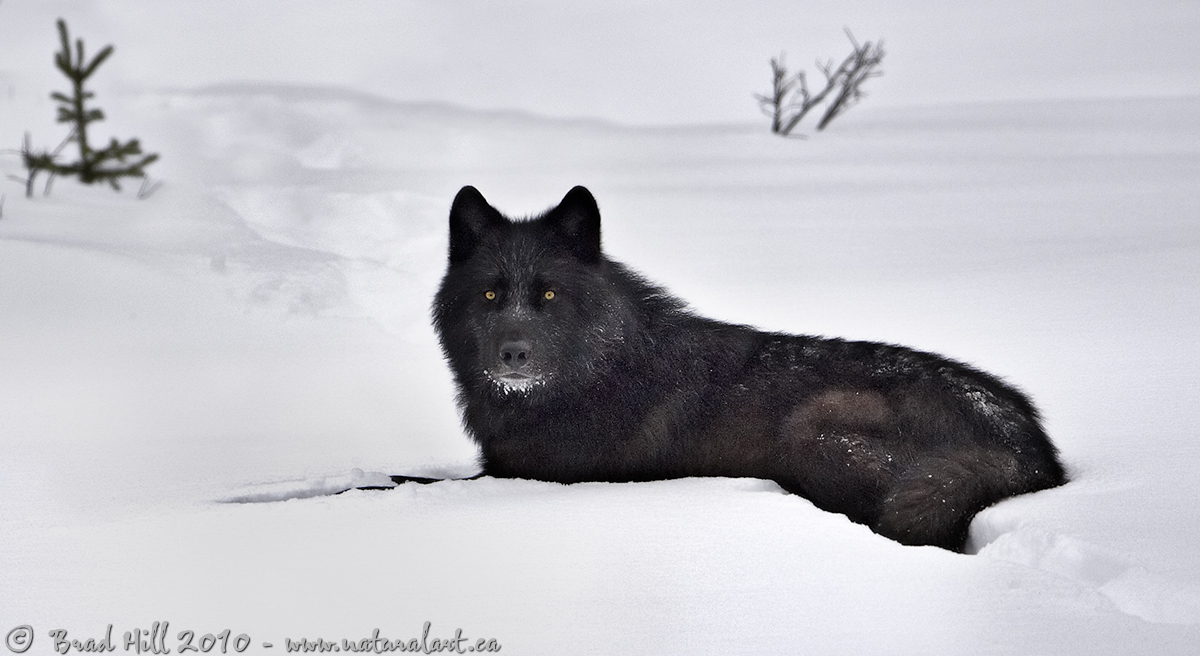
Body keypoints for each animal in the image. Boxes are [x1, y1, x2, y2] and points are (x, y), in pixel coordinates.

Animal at [427, 185, 1066, 551]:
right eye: (490, 295)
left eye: (550, 295)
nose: (514, 354)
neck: (593, 374)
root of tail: (1031, 450)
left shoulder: (524, 477)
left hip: (815, 426)